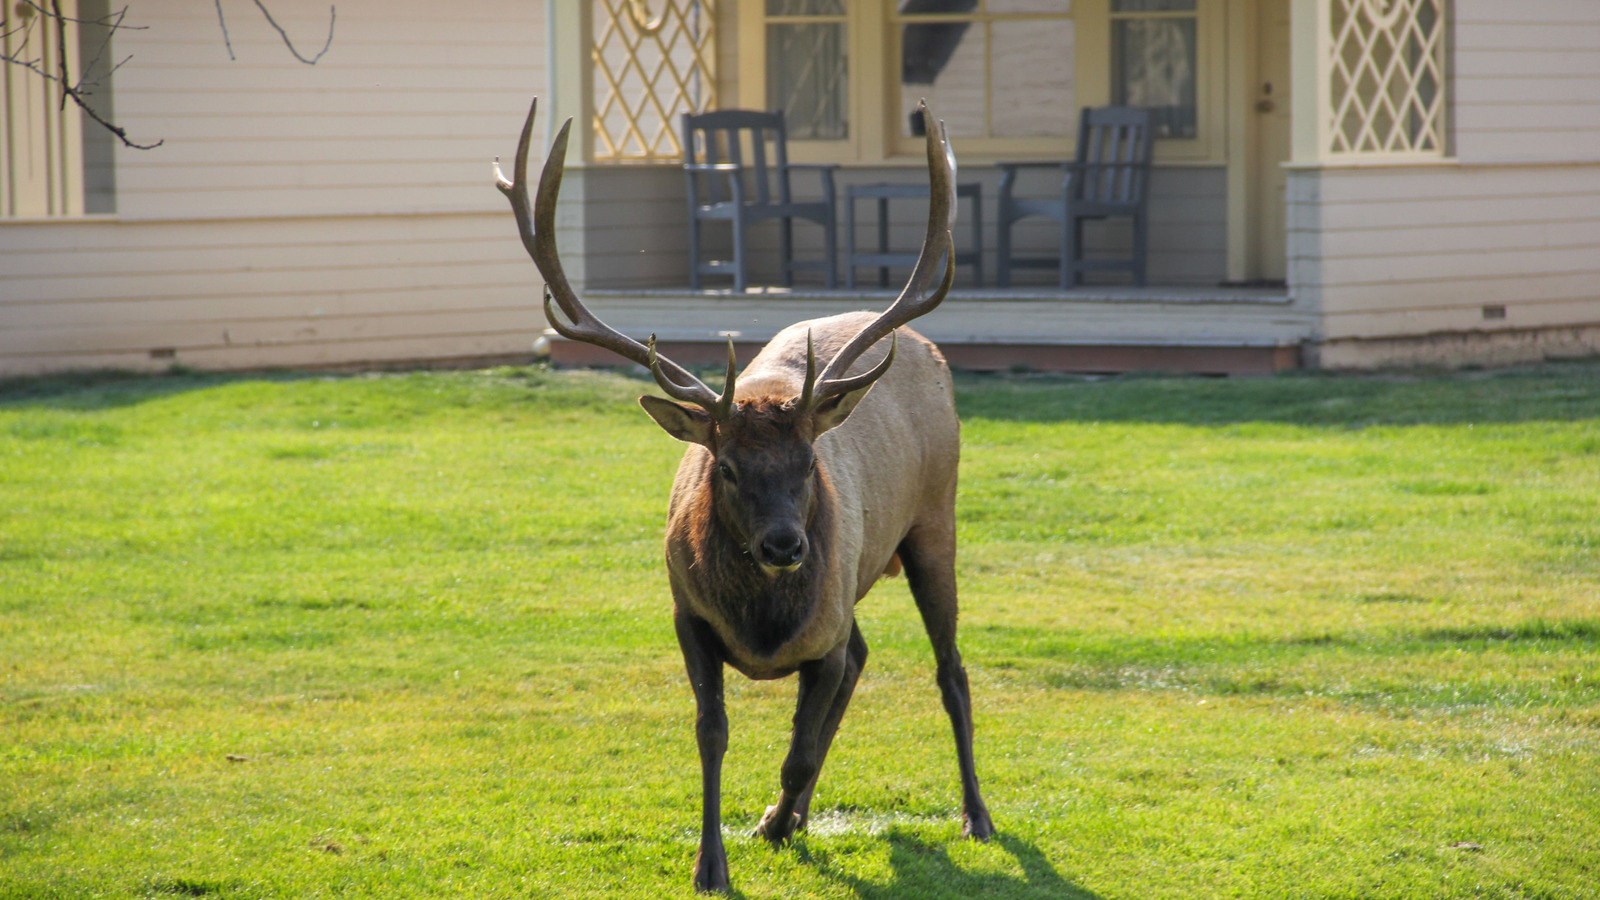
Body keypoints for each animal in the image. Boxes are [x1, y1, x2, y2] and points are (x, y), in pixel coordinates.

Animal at [494, 98, 993, 893]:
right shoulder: (688, 616)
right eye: (724, 466)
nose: (786, 544)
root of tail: (928, 348)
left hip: (934, 522)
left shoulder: (820, 633)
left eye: (808, 459)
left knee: (950, 669)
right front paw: (714, 861)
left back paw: (975, 815)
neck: (764, 623)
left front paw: (778, 820)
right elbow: (713, 733)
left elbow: (799, 743)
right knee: (866, 656)